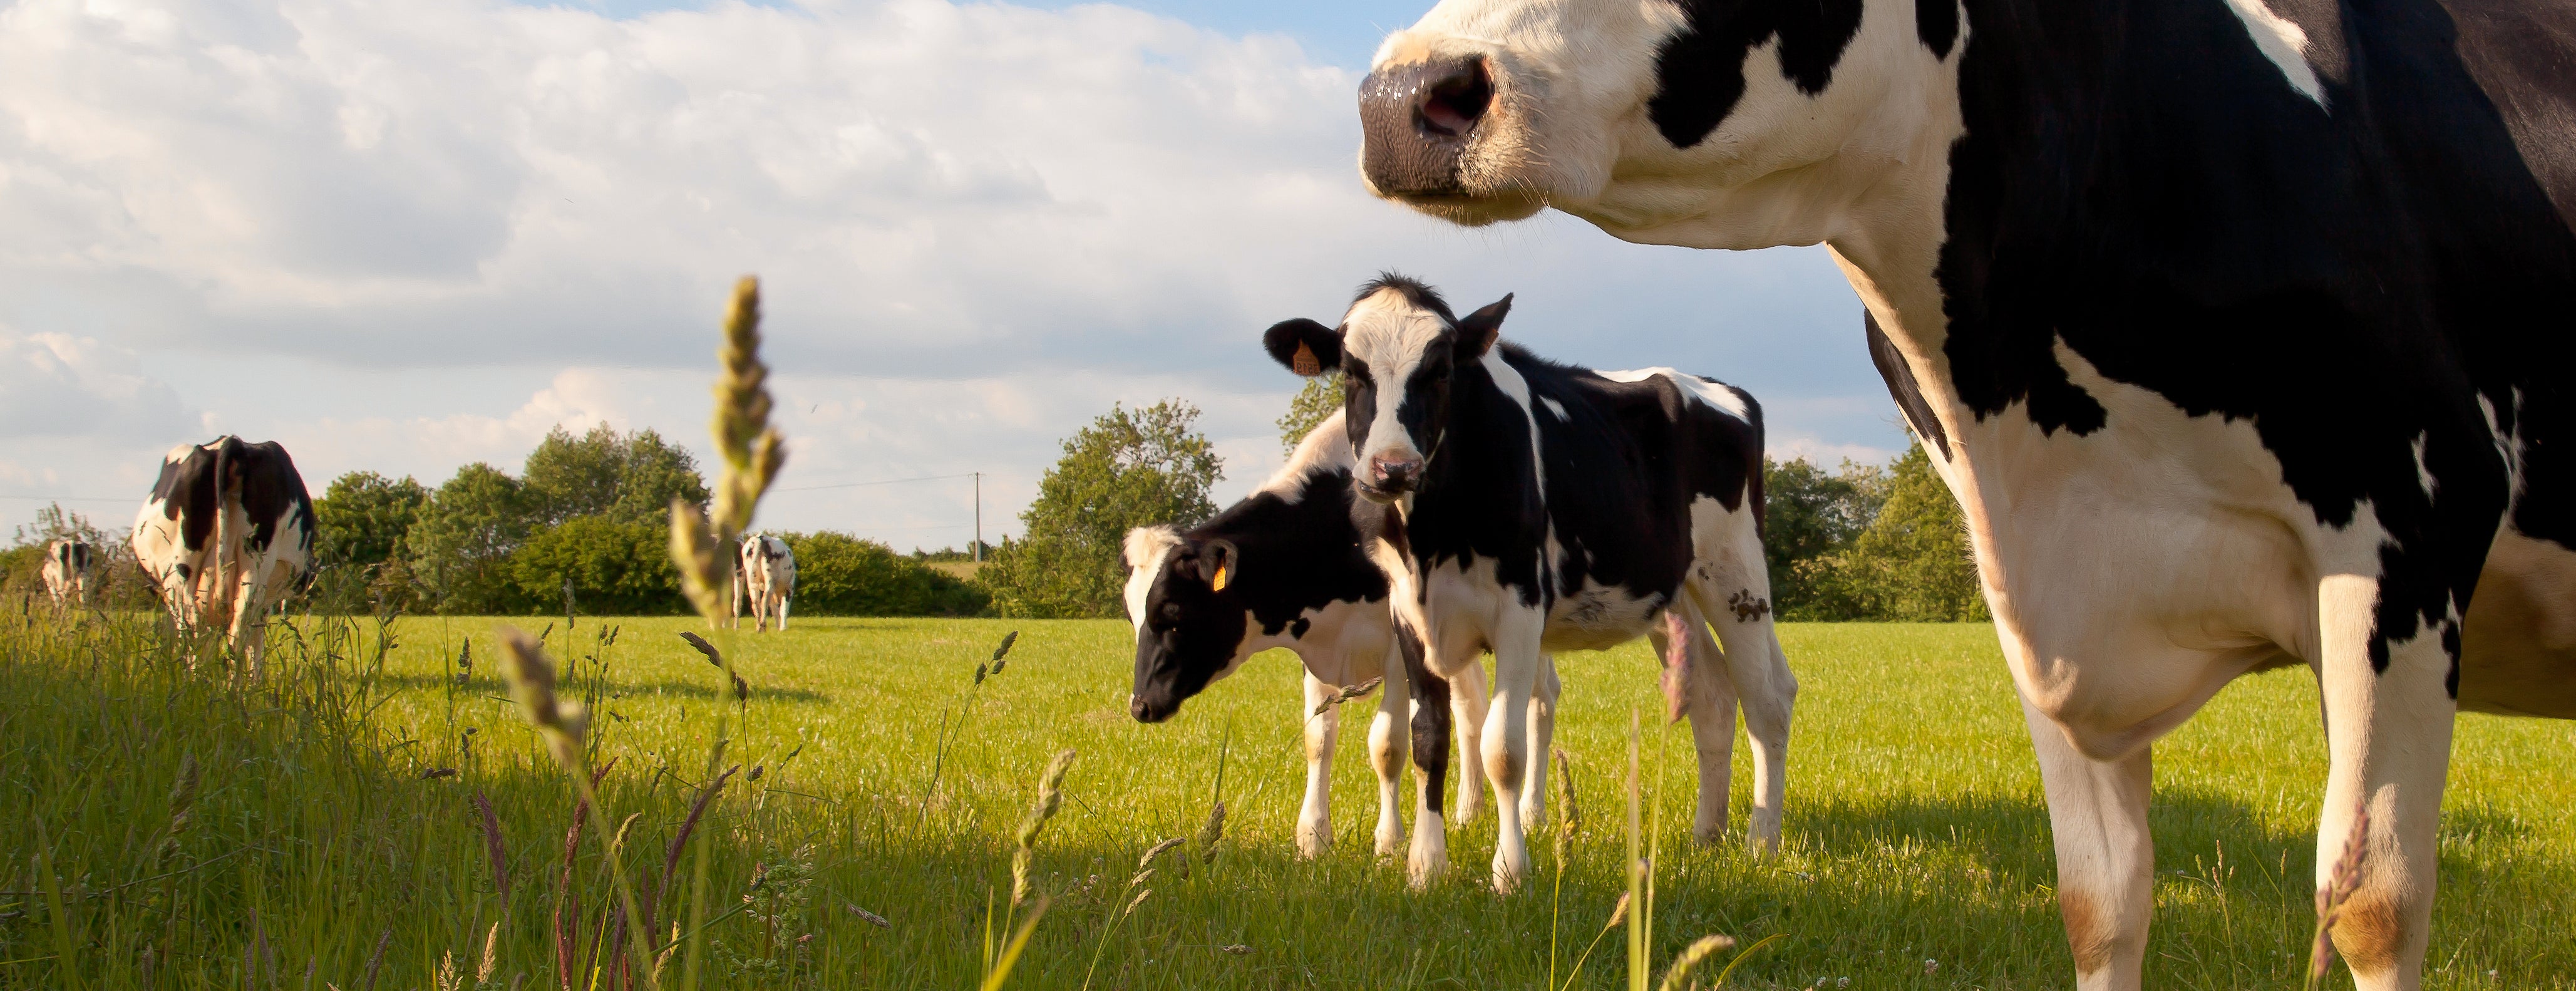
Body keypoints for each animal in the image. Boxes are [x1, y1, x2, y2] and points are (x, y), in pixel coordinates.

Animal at [737, 534, 795, 632]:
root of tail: (760, 537)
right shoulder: (789, 587)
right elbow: (783, 608)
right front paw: (783, 628)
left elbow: (775, 609)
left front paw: (778, 626)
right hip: (770, 575)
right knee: (766, 597)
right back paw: (763, 625)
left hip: (752, 575)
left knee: (755, 600)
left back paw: (759, 626)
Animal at [1124, 411, 1515, 859]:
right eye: (1132, 615)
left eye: (1173, 612)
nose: (1140, 705)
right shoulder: (1318, 648)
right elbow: (1318, 739)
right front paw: (1313, 838)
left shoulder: (1398, 651)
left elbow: (1388, 744)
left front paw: (1389, 843)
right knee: (1470, 709)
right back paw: (1469, 811)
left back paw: (1531, 815)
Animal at [1263, 274, 1796, 891]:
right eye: (1351, 371)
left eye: (1440, 370)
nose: (1393, 468)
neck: (1431, 537)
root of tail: (1719, 389)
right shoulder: (1407, 615)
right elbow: (1428, 739)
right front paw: (1426, 865)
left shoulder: (1519, 611)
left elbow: (1503, 749)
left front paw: (1510, 872)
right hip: (1674, 596)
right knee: (1713, 696)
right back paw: (1706, 835)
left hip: (1737, 573)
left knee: (1767, 699)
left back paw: (1762, 843)